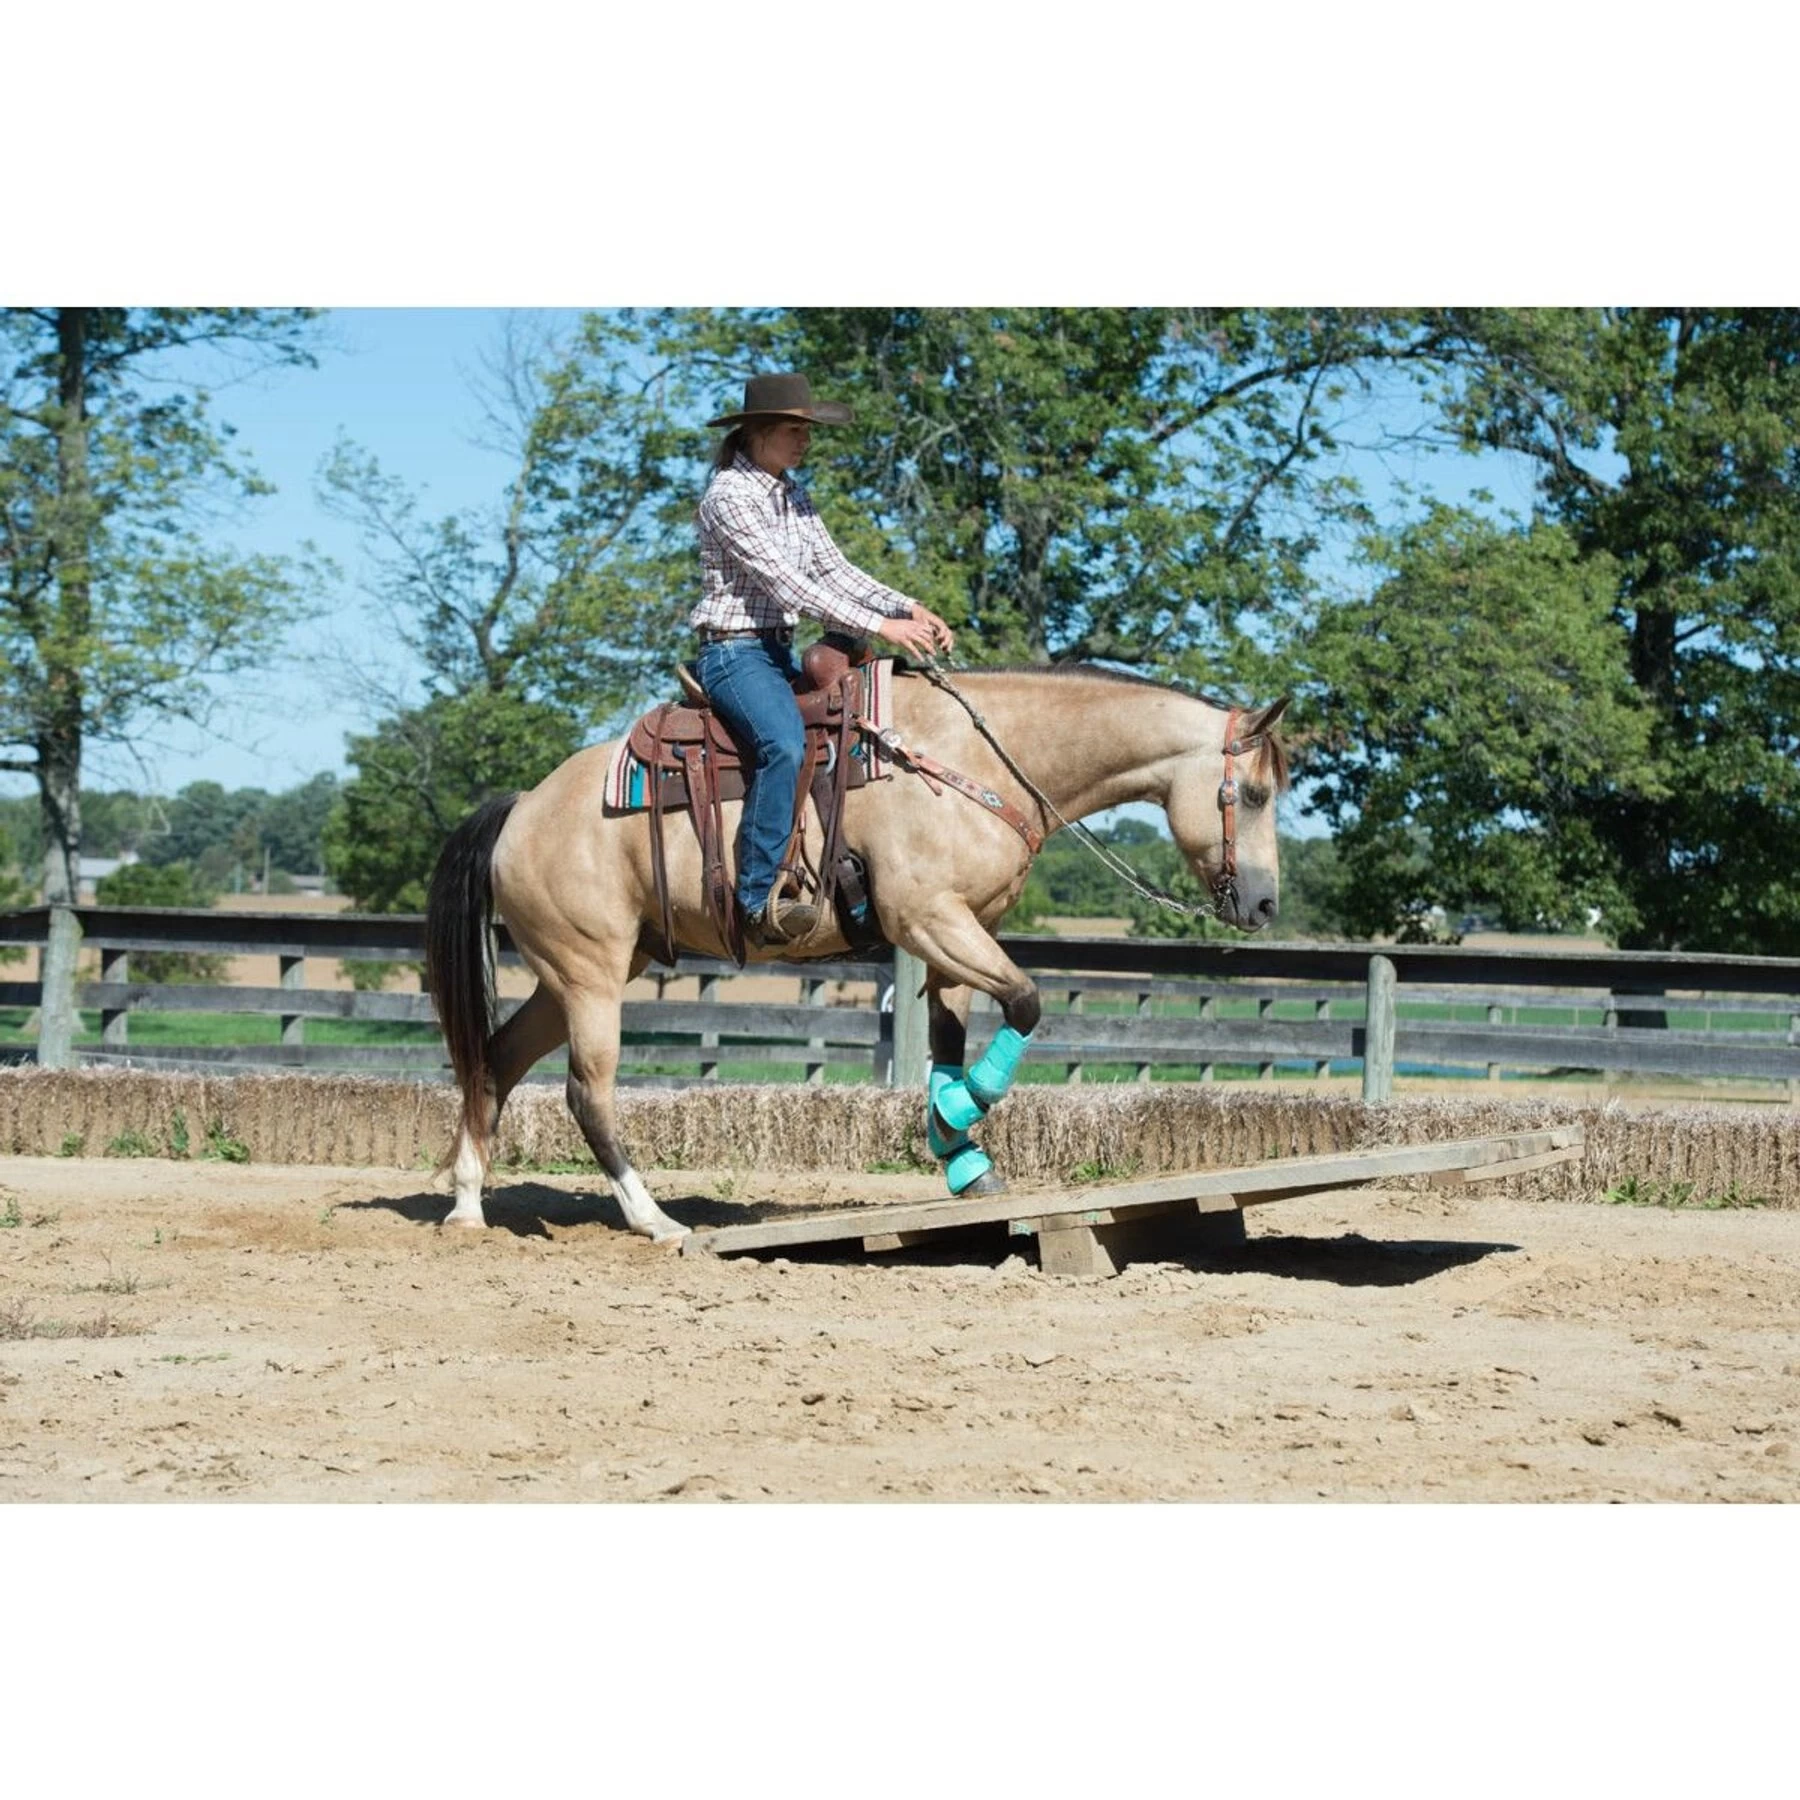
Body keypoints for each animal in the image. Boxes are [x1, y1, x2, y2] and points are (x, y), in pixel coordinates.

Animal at [423, 663, 1291, 1240]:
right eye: (1254, 794)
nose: (1264, 904)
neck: (972, 759)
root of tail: (522, 807)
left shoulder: (958, 933)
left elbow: (953, 1038)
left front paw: (960, 1151)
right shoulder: (927, 918)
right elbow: (1027, 1000)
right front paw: (960, 1116)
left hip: (574, 975)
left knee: (495, 1060)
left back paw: (467, 1206)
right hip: (592, 974)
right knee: (587, 1094)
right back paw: (654, 1219)